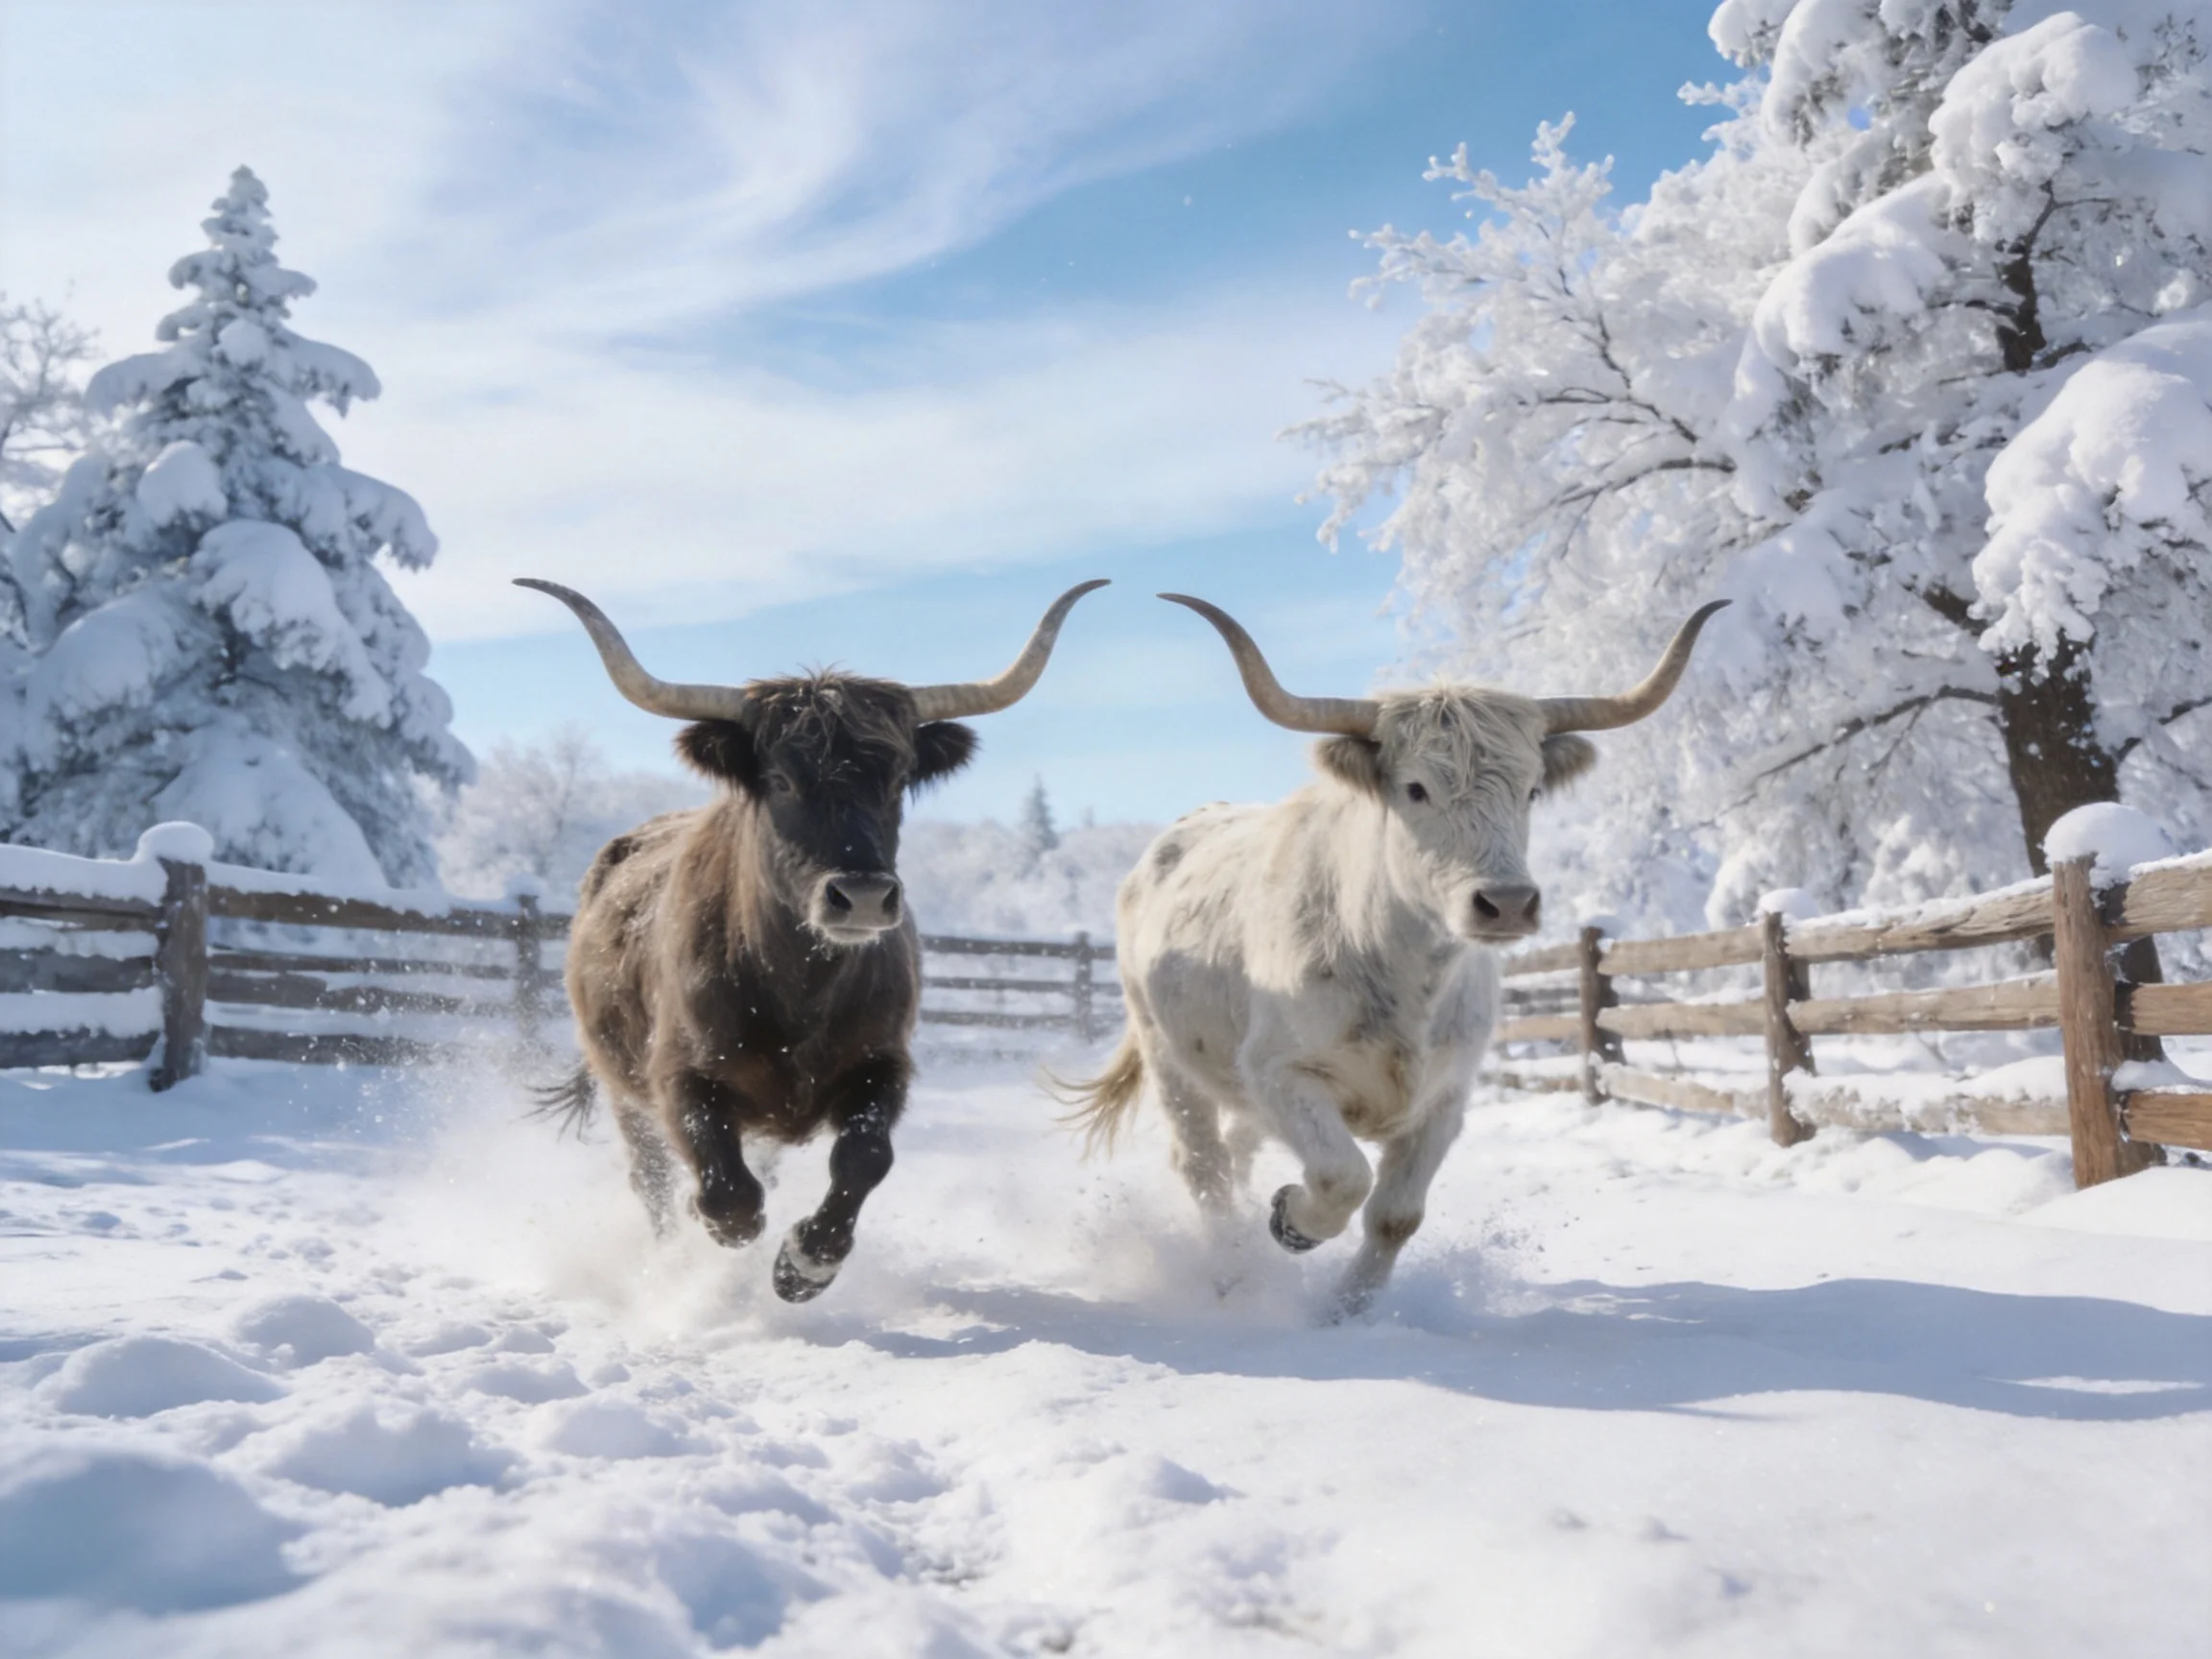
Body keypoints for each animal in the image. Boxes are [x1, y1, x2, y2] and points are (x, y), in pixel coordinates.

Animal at [520, 576, 1106, 1302]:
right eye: (779, 780)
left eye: (897, 779)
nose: (862, 894)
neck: (798, 986)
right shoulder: (678, 1075)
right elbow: (725, 1191)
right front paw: (725, 1236)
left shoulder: (883, 1061)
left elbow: (865, 1155)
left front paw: (806, 1262)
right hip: (620, 1087)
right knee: (651, 1178)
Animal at [1060, 595, 1726, 1316]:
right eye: (1415, 788)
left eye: (1531, 790)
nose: (1507, 902)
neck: (1404, 974)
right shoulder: (1281, 1073)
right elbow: (1342, 1177)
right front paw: (1291, 1220)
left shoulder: (1445, 1098)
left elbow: (1395, 1214)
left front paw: (1347, 1310)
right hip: (1171, 1060)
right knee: (1203, 1166)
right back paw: (1232, 1273)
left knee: (1235, 1153)